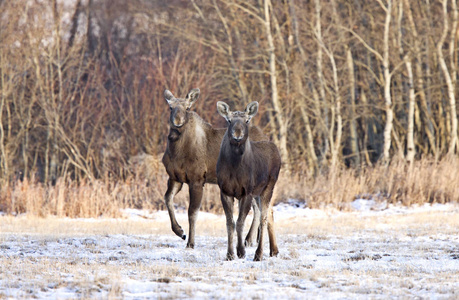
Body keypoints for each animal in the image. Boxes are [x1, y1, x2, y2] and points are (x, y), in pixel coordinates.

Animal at [163, 89, 268, 248]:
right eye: (170, 107)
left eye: (187, 108)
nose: (177, 121)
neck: (177, 151)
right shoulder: (175, 177)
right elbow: (167, 199)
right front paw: (180, 231)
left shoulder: (197, 179)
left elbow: (192, 212)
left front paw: (190, 243)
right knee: (257, 208)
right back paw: (250, 239)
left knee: (258, 209)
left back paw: (249, 240)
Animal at [217, 100, 282, 260]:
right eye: (229, 120)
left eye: (247, 120)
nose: (237, 135)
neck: (234, 168)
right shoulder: (225, 191)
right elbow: (230, 223)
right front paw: (230, 254)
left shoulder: (247, 192)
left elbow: (240, 222)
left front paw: (241, 251)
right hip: (258, 193)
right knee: (269, 213)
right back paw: (274, 250)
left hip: (268, 187)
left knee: (264, 217)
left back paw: (259, 254)